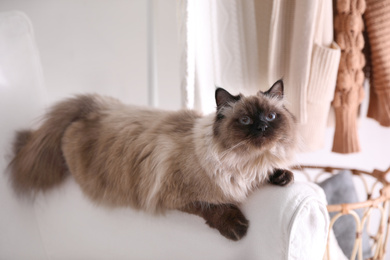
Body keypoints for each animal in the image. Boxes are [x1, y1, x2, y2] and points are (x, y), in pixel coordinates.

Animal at [7, 78, 298, 240]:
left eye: (271, 117)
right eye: (246, 120)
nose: (262, 128)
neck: (246, 162)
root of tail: (102, 106)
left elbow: (274, 170)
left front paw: (283, 175)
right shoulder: (175, 195)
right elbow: (213, 206)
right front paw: (237, 227)